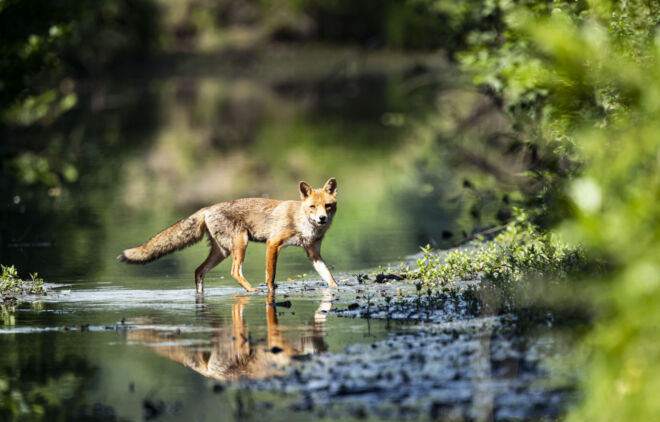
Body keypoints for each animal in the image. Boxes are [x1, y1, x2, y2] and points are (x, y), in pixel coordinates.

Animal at [118, 178, 339, 293]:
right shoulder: (273, 243)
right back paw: (252, 290)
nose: (322, 219)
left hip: (222, 252)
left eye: (328, 206)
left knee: (199, 271)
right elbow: (270, 276)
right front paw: (270, 292)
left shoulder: (313, 253)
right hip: (241, 243)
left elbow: (328, 276)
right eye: (312, 207)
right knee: (234, 272)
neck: (304, 224)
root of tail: (208, 207)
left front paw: (337, 288)